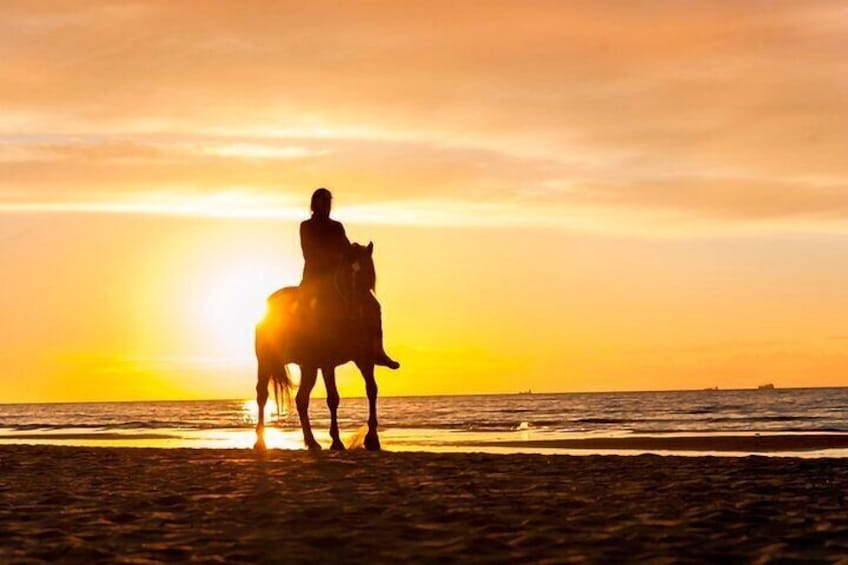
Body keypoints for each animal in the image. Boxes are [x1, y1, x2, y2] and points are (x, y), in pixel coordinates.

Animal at [253, 241, 382, 450]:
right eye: (345, 275)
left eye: (368, 275)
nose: (355, 311)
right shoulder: (328, 364)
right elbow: (333, 398)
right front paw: (336, 440)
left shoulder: (364, 359)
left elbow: (372, 390)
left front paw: (372, 438)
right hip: (265, 363)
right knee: (262, 396)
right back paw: (260, 441)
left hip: (308, 367)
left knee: (301, 400)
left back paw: (311, 441)